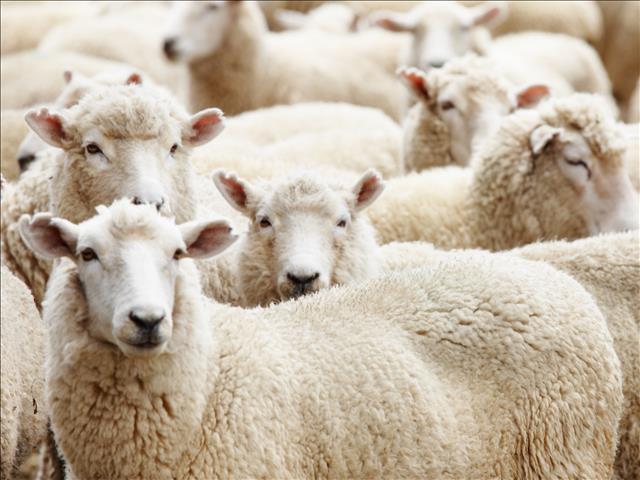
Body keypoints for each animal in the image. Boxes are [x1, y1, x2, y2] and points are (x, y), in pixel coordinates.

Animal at [20, 198, 623, 479]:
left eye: (177, 254)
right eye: (87, 254)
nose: (147, 320)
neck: (209, 380)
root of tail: (548, 276)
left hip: (565, 459)